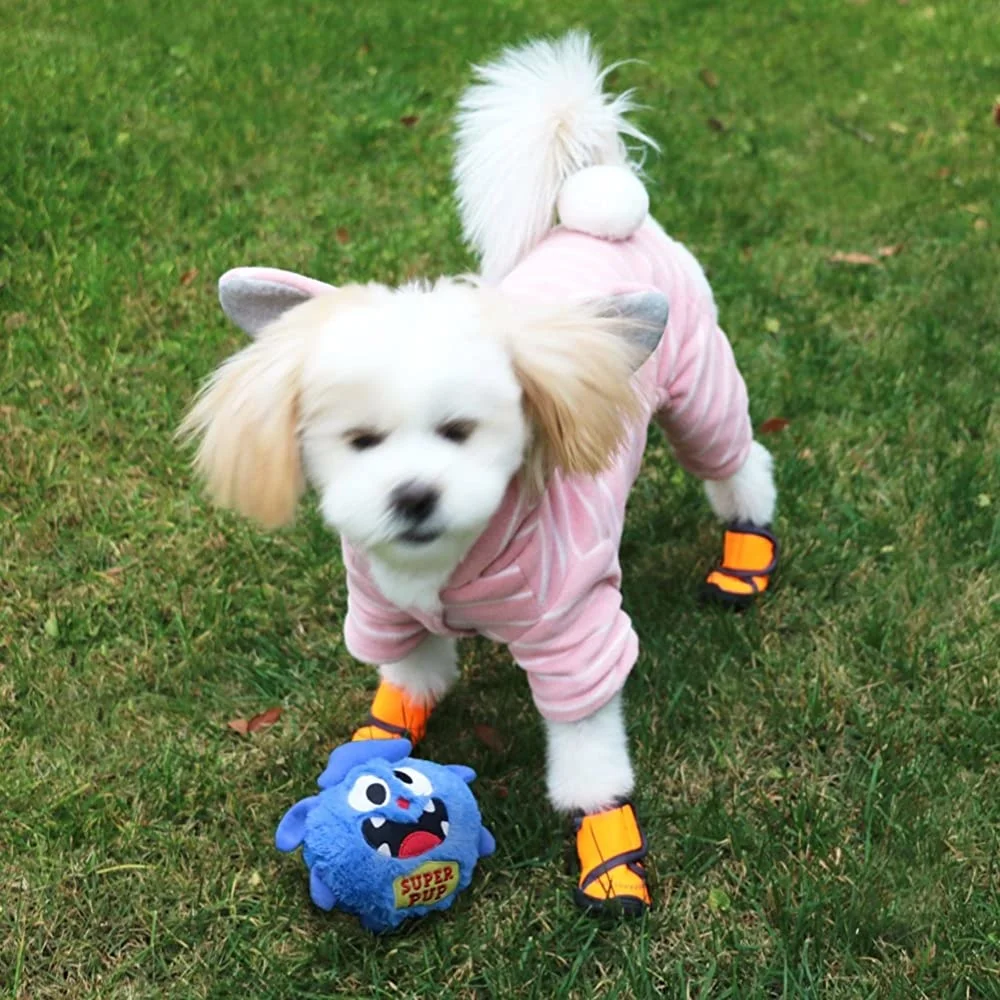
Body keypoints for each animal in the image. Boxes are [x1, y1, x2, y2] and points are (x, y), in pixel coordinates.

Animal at [186, 33, 780, 916]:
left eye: (460, 432)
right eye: (361, 442)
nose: (413, 495)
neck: (444, 563)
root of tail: (601, 214)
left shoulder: (574, 639)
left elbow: (590, 762)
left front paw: (608, 853)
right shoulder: (386, 609)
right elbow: (407, 682)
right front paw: (373, 748)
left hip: (701, 388)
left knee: (742, 463)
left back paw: (747, 553)